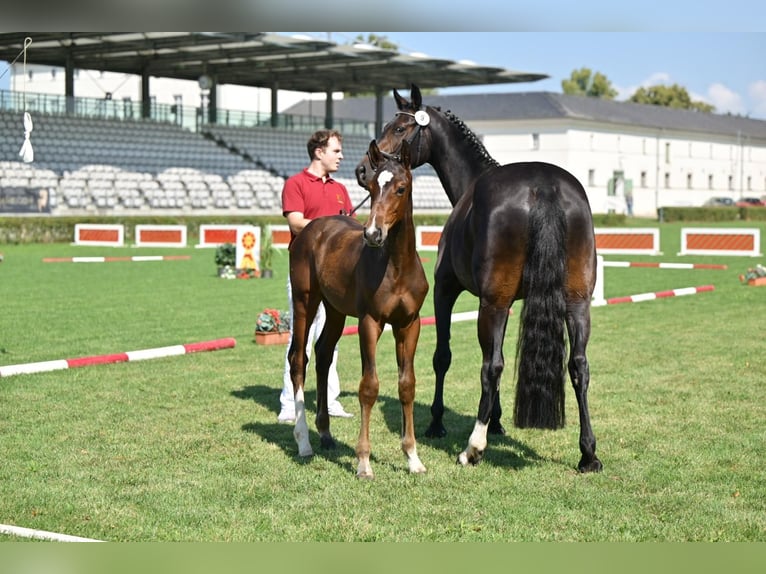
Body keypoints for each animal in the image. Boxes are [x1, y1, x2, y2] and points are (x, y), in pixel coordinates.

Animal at [287, 139, 429, 479]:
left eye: (401, 188)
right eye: (373, 187)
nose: (373, 234)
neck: (396, 266)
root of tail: (312, 229)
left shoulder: (410, 323)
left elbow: (407, 385)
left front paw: (412, 457)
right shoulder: (370, 322)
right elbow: (369, 386)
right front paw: (364, 462)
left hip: (335, 310)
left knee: (323, 354)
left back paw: (325, 433)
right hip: (305, 301)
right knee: (299, 359)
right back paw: (304, 441)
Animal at [355, 84, 602, 473]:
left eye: (399, 128)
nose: (363, 169)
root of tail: (545, 187)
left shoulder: (446, 291)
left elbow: (443, 356)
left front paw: (438, 422)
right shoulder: (512, 302)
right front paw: (497, 421)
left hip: (492, 304)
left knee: (492, 366)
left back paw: (473, 447)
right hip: (576, 302)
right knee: (578, 366)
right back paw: (588, 452)